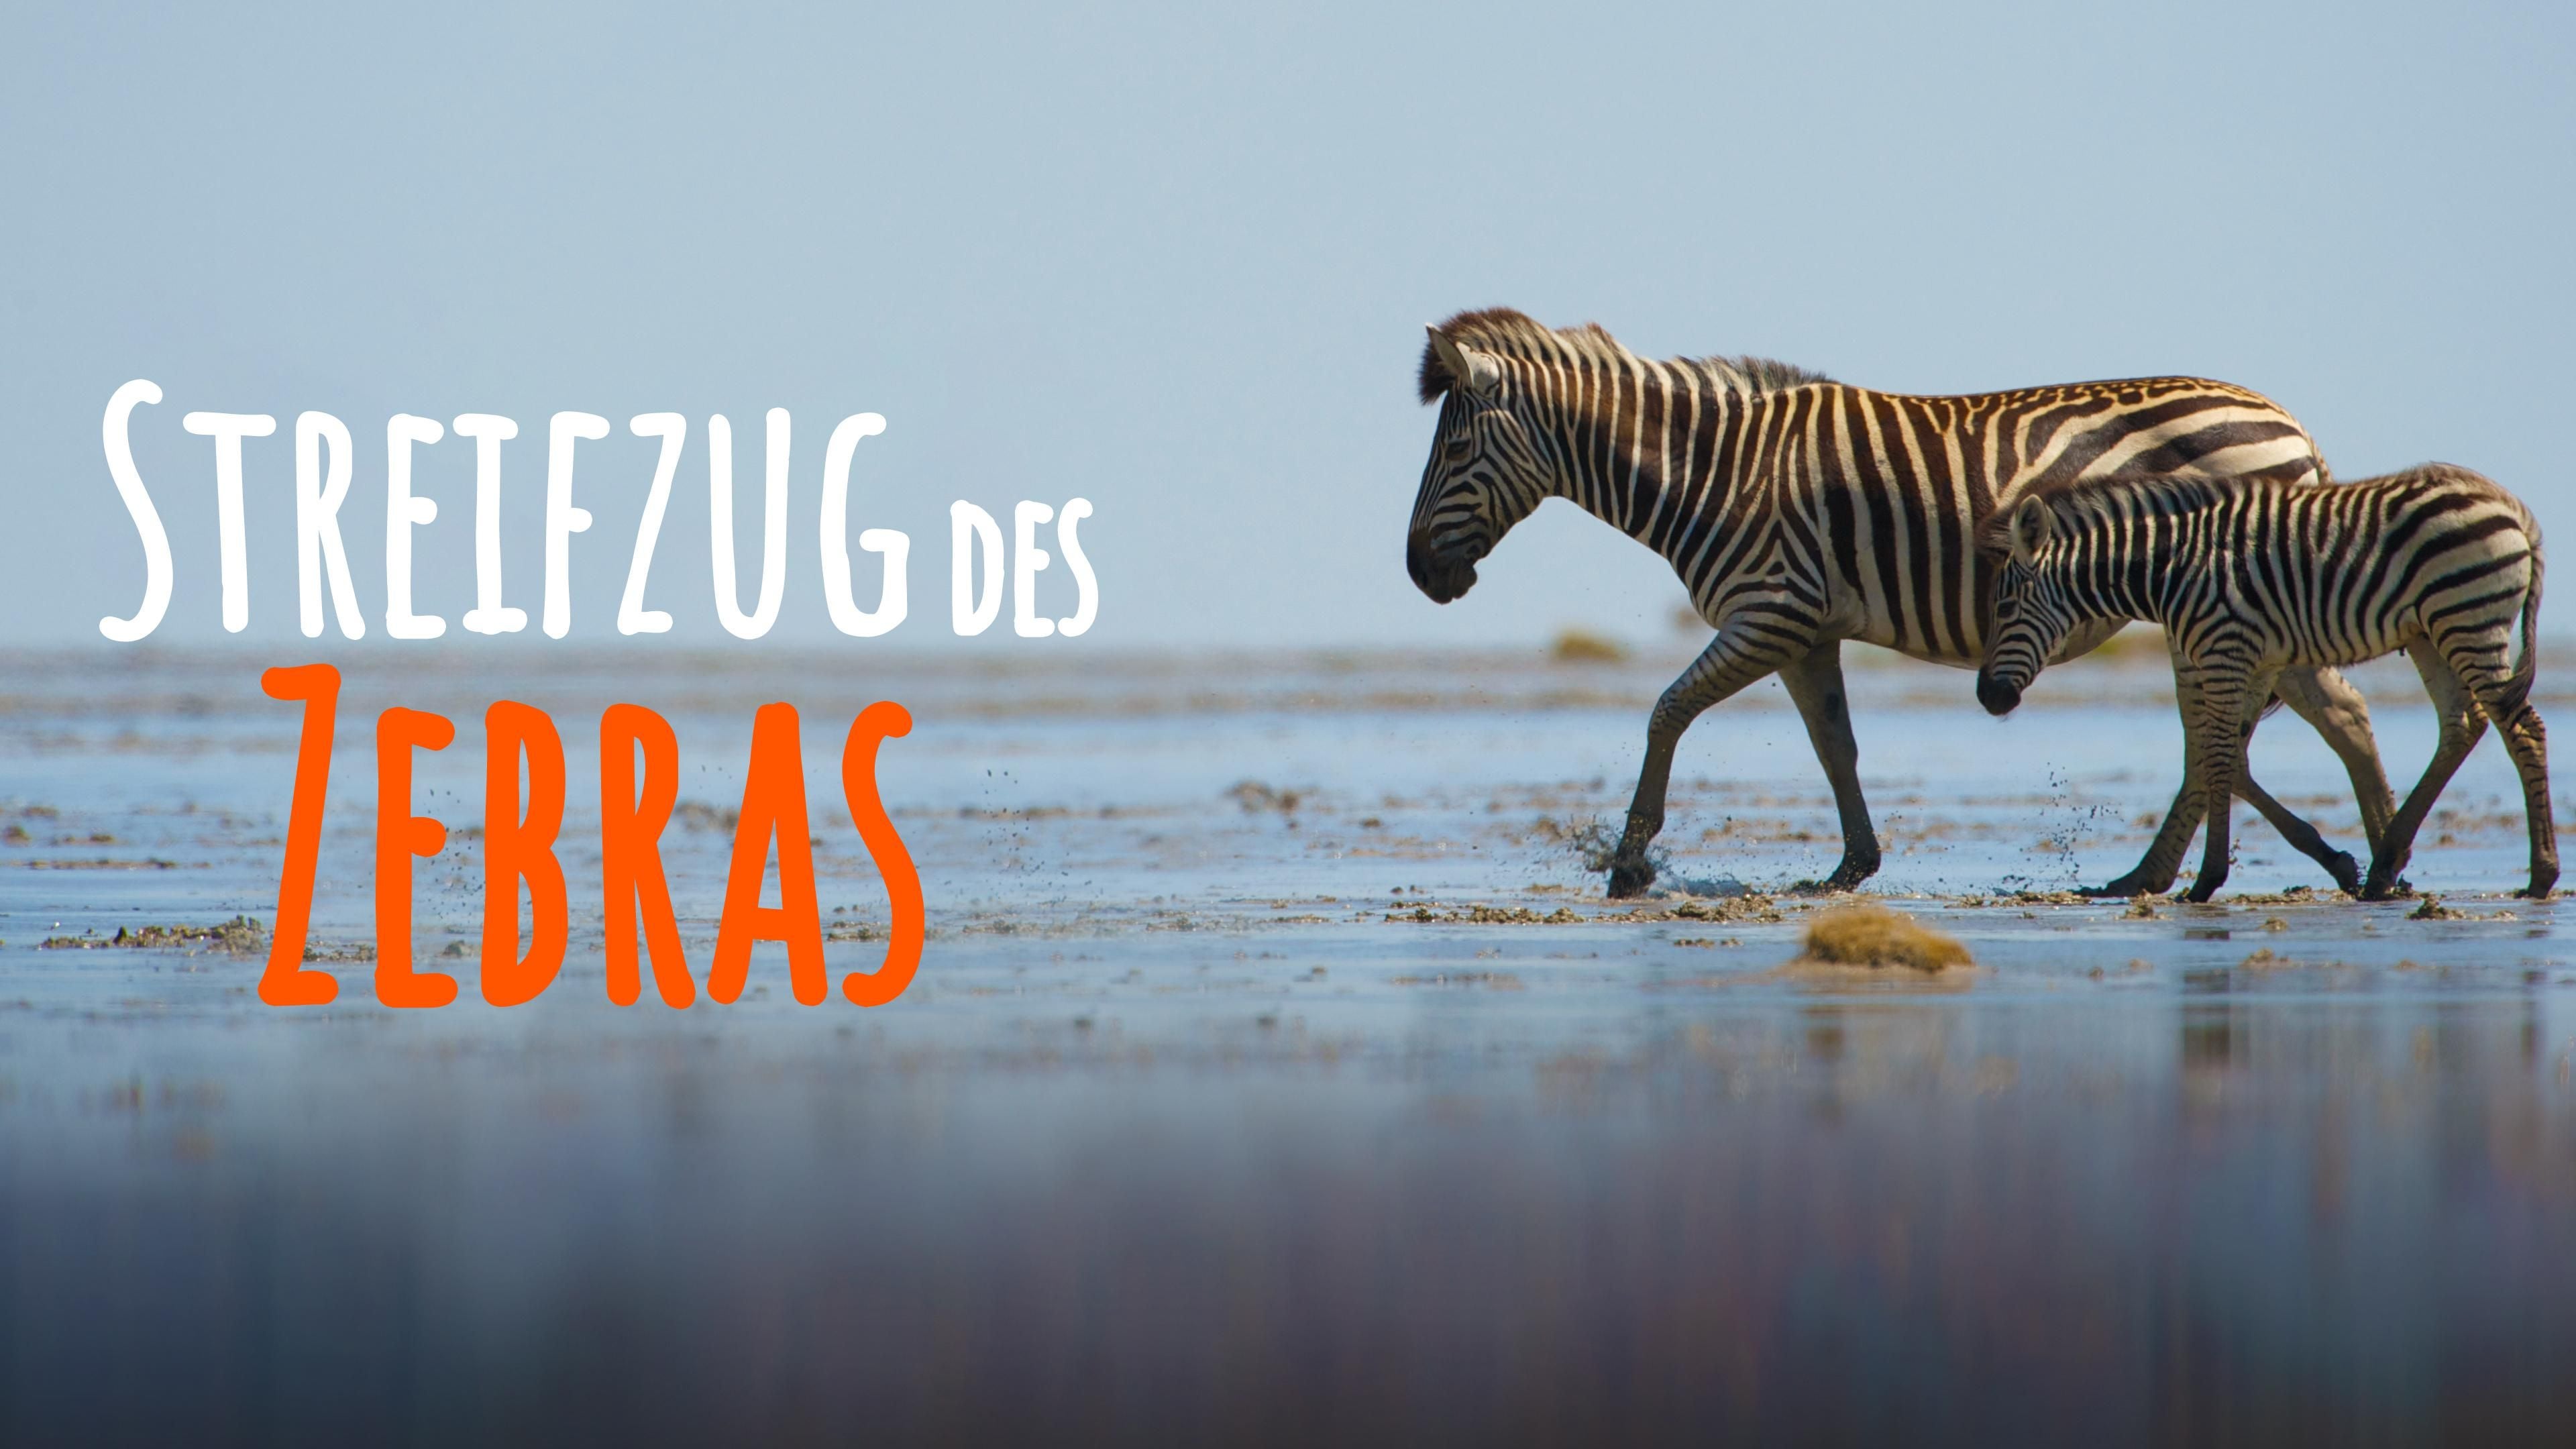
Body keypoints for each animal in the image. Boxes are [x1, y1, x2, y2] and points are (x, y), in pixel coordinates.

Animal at [1403, 307, 2399, 898]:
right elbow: (1834, 744)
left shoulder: (1769, 611)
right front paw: (1851, 867)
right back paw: (2345, 861)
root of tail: (2288, 423)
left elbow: (1666, 712)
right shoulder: (1805, 631)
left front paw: (1629, 863)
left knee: (2273, 722)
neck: (1712, 472)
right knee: (2306, 717)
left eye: (1452, 454)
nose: (1418, 574)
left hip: (2234, 604)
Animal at [1974, 463, 2553, 901]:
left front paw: (2207, 881)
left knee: (2522, 728)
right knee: (2464, 724)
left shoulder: (2226, 653)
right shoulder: (2252, 660)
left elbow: (2217, 758)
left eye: (2003, 607)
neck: (2169, 569)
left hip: (2466, 618)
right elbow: (2226, 757)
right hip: (2433, 630)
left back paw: (2541, 875)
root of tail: (2516, 511)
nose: (1987, 697)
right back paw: (2385, 866)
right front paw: (2336, 861)